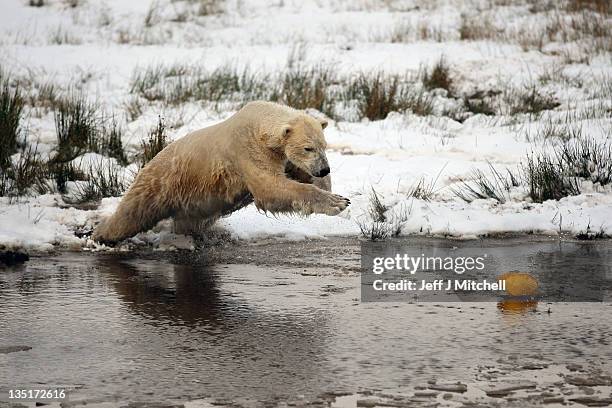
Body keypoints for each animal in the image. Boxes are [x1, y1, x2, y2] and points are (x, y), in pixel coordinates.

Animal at [91, 101, 350, 244]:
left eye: (323, 145)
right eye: (308, 148)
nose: (324, 168)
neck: (259, 125)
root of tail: (148, 164)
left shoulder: (280, 155)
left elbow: (296, 174)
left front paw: (331, 191)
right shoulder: (247, 150)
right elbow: (270, 188)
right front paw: (338, 203)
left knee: (188, 221)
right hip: (160, 183)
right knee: (132, 213)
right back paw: (100, 235)